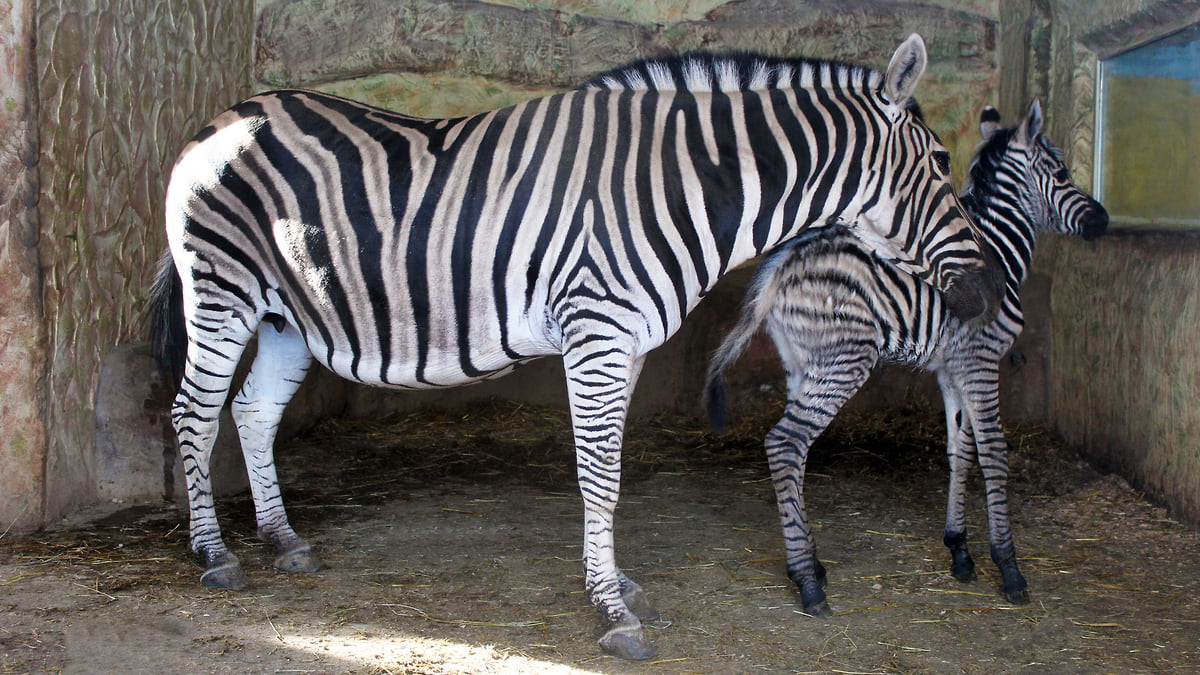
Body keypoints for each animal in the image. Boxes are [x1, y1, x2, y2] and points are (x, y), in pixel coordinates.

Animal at [150, 32, 998, 658]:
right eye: (940, 163)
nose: (987, 295)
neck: (683, 185)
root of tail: (221, 119)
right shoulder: (596, 331)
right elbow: (598, 474)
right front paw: (612, 611)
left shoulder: (626, 344)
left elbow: (610, 470)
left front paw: (614, 581)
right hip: (223, 289)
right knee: (193, 412)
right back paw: (215, 554)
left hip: (288, 315)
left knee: (252, 413)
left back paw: (284, 539)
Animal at [700, 98, 1104, 614]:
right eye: (1063, 171)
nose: (1103, 221)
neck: (1000, 250)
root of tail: (782, 262)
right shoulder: (981, 360)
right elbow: (994, 453)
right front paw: (1009, 567)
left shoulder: (952, 370)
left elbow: (960, 451)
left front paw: (960, 551)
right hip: (844, 361)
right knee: (785, 443)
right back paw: (807, 581)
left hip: (803, 363)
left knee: (796, 453)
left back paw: (811, 564)